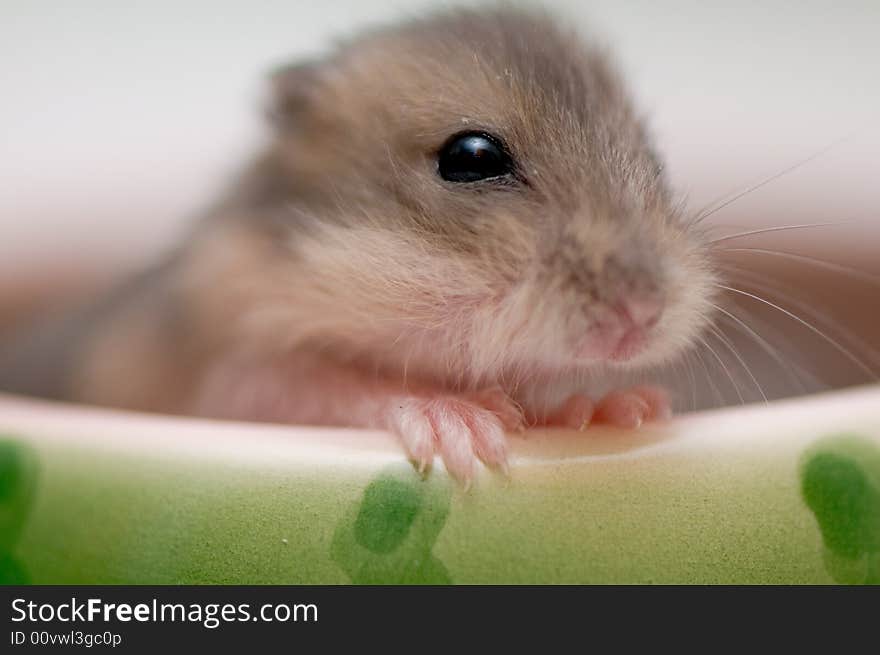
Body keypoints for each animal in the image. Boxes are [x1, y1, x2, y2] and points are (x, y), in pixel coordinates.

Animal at [0, 7, 716, 484]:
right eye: (472, 157)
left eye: (654, 157)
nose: (642, 317)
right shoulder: (236, 380)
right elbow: (335, 381)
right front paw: (465, 427)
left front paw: (624, 409)